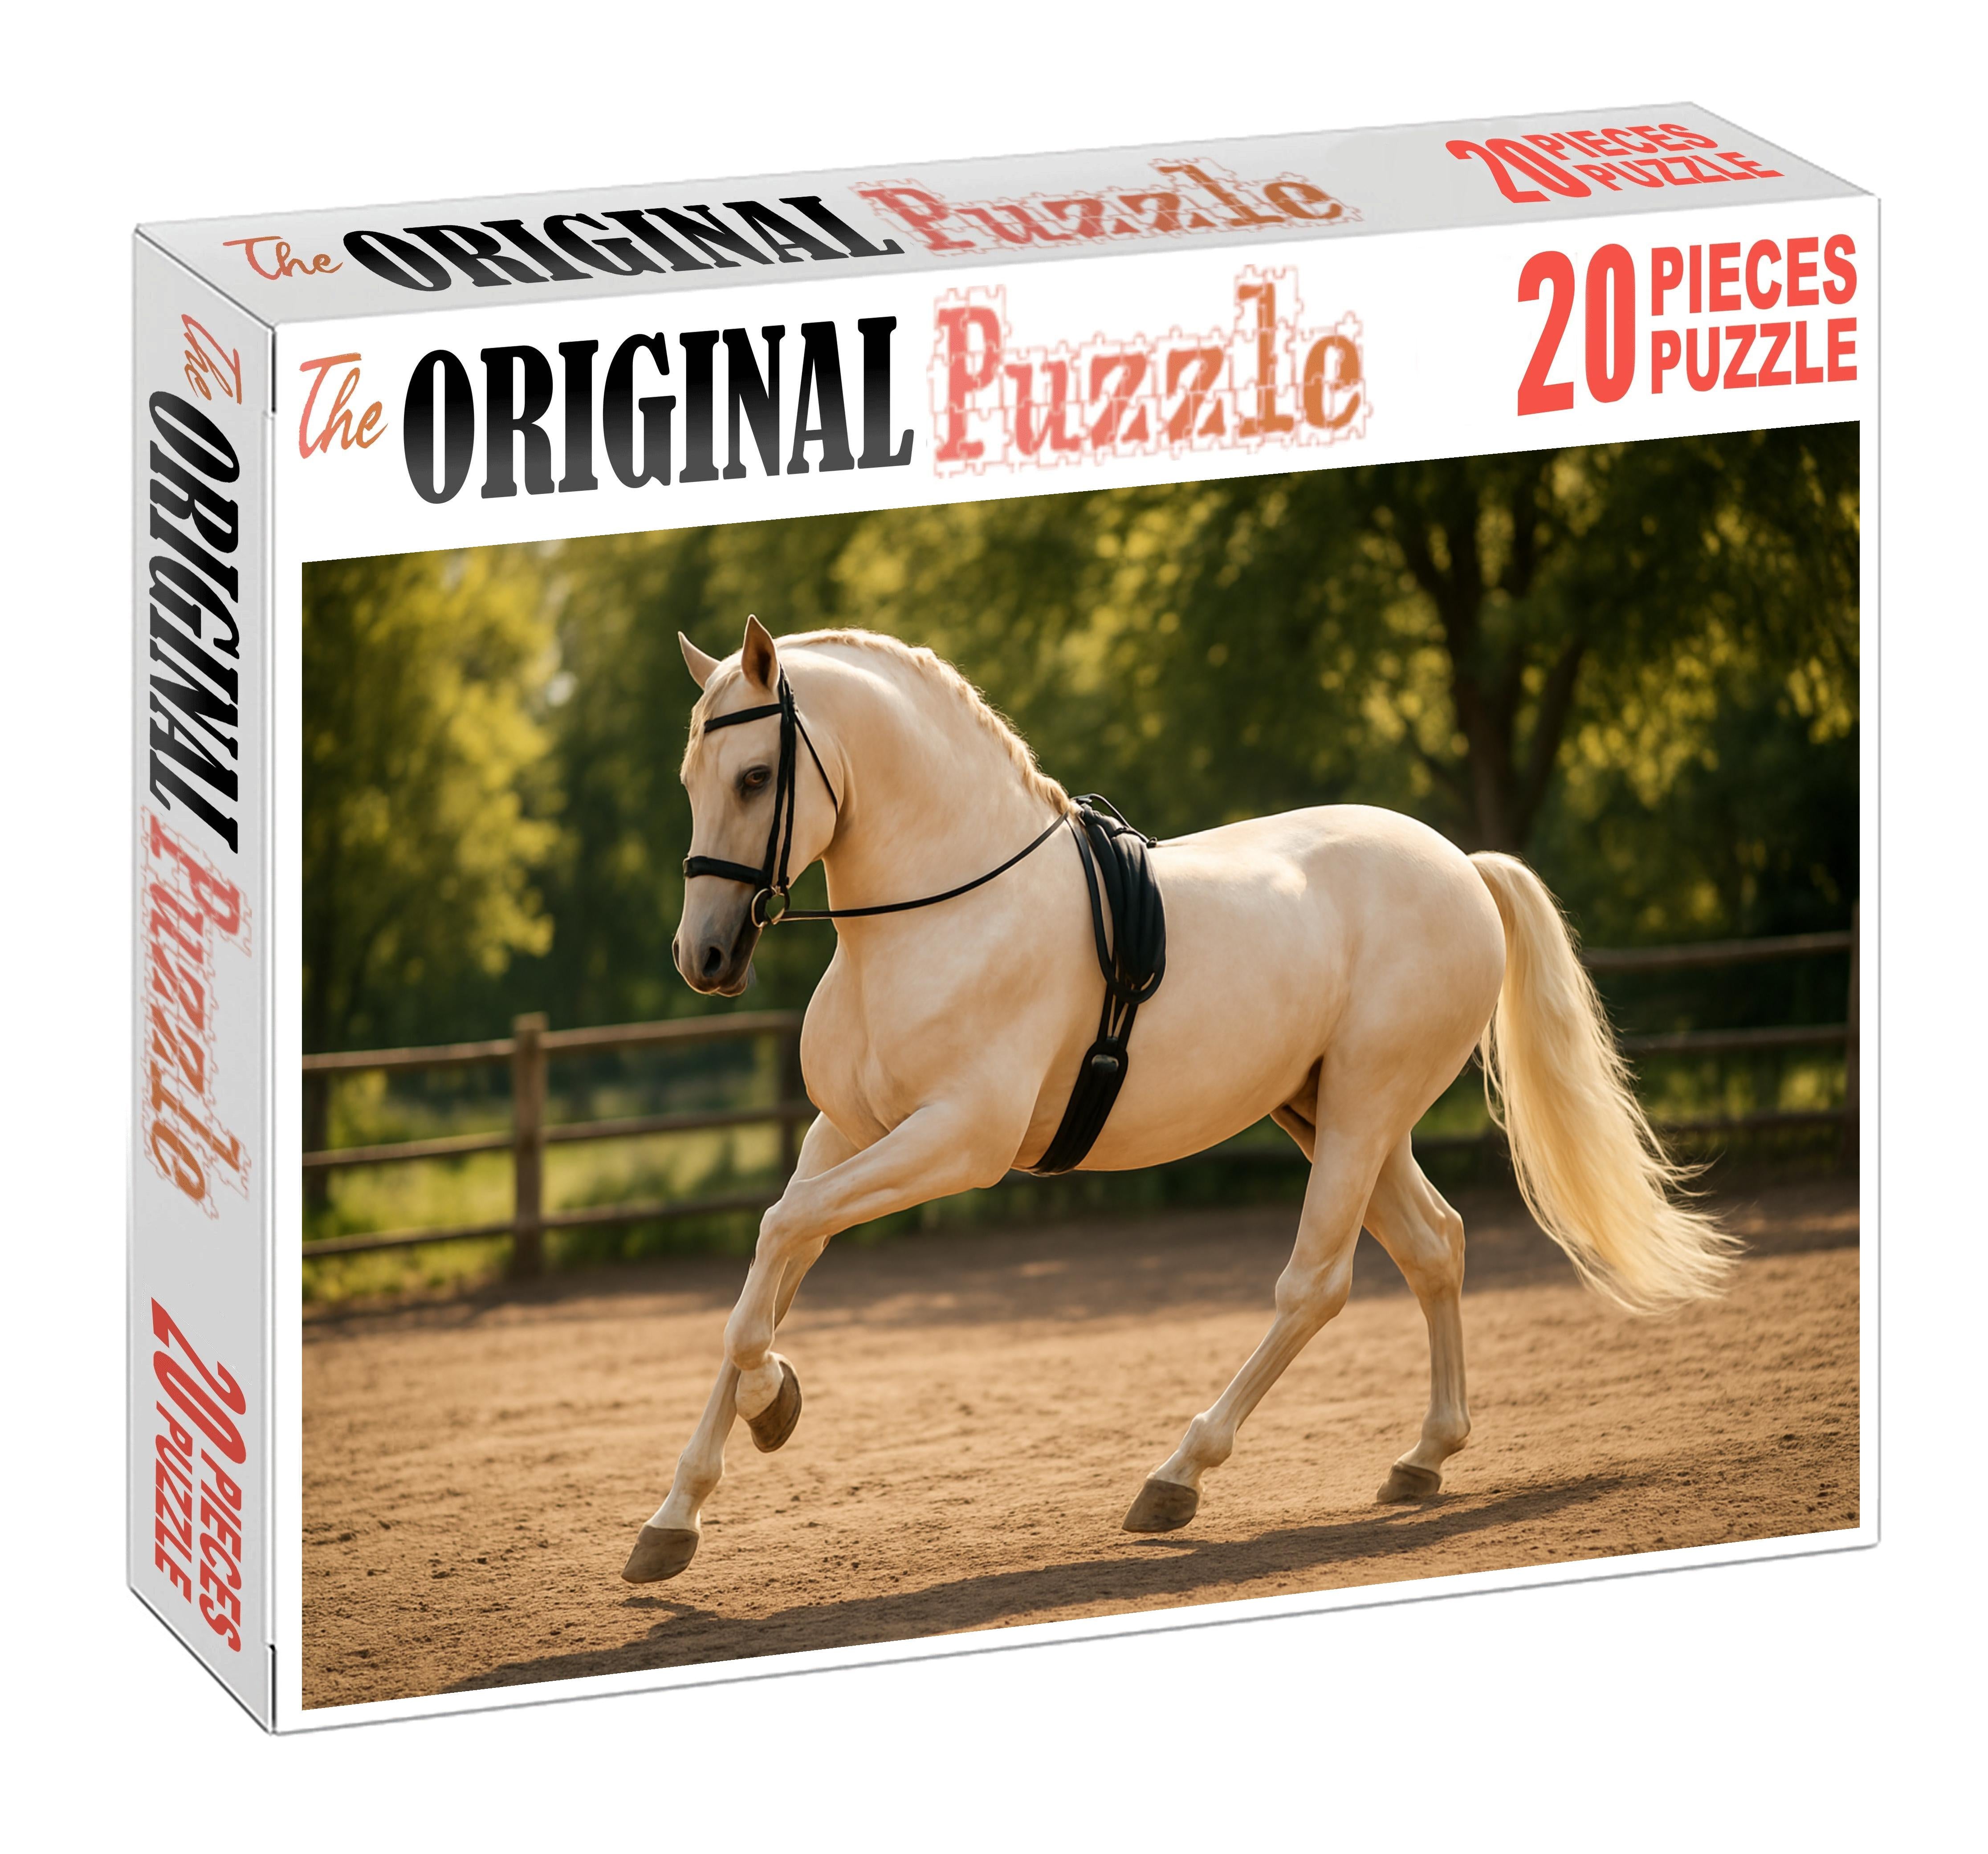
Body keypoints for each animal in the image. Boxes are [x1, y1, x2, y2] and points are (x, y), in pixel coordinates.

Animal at [621, 615, 1738, 1582]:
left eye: (756, 776)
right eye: (689, 778)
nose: (702, 957)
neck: (943, 914)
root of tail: (1458, 864)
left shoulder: (955, 1142)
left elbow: (776, 1244)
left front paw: (773, 1404)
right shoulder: (844, 1132)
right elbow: (769, 1270)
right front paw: (676, 1516)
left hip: (1366, 1109)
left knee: (1316, 1284)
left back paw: (1177, 1478)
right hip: (1329, 1115)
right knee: (1435, 1246)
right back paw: (1423, 1458)